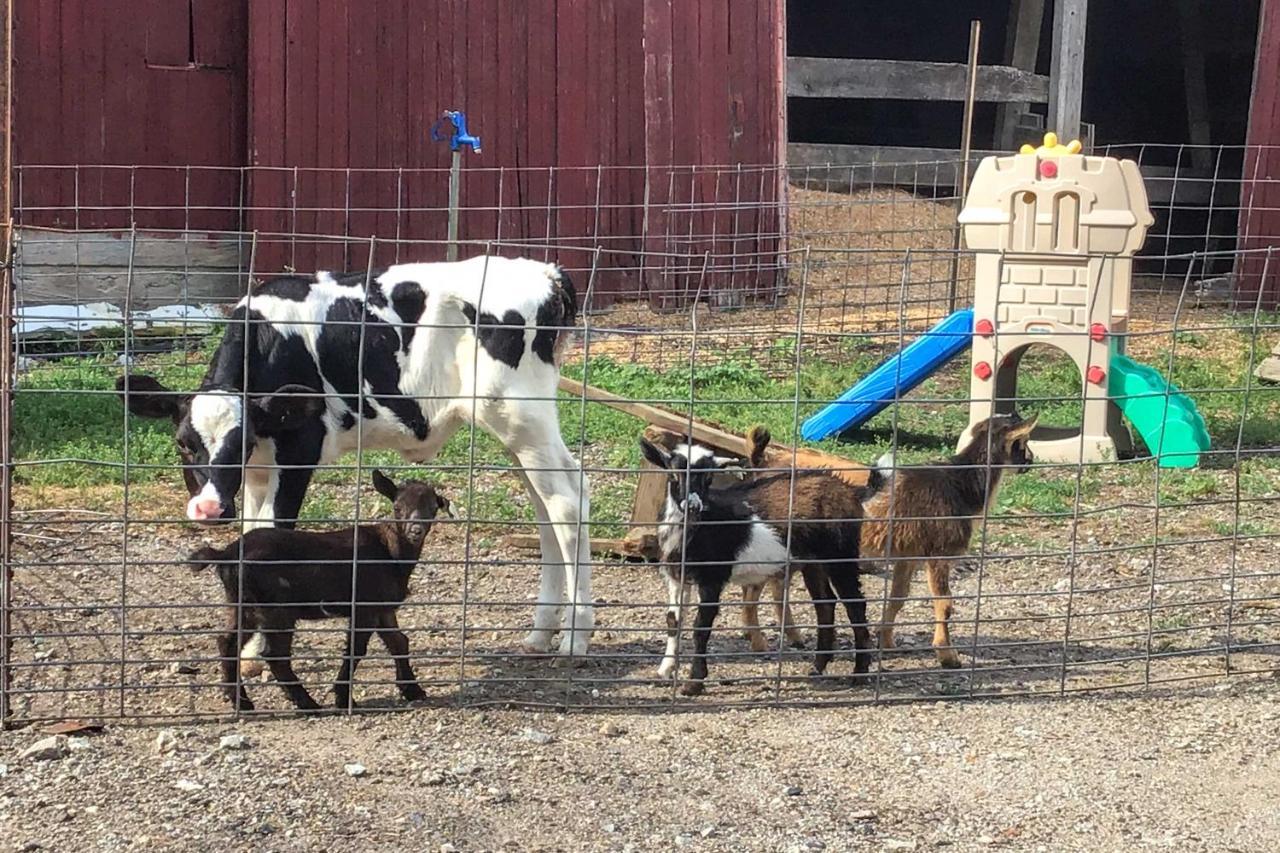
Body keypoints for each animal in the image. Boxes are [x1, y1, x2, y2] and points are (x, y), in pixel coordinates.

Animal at [122, 256, 591, 660]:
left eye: (241, 440)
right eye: (184, 442)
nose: (208, 508)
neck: (272, 340)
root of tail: (546, 272)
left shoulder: (298, 451)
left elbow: (275, 529)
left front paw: (254, 651)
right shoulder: (258, 472)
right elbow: (253, 532)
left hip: (521, 417)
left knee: (566, 504)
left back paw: (576, 635)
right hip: (518, 432)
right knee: (552, 502)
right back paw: (540, 632)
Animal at [637, 438, 875, 691]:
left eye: (709, 478)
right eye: (673, 474)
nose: (693, 505)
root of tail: (850, 491)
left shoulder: (713, 577)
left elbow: (701, 626)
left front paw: (694, 683)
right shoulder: (676, 577)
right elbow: (673, 621)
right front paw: (664, 670)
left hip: (841, 554)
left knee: (855, 604)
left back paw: (859, 672)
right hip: (813, 562)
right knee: (825, 604)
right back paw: (818, 666)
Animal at [865, 412, 1034, 666]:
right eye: (1022, 442)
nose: (1031, 461)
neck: (962, 483)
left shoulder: (909, 554)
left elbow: (898, 596)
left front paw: (886, 642)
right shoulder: (940, 552)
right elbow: (945, 603)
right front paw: (947, 656)